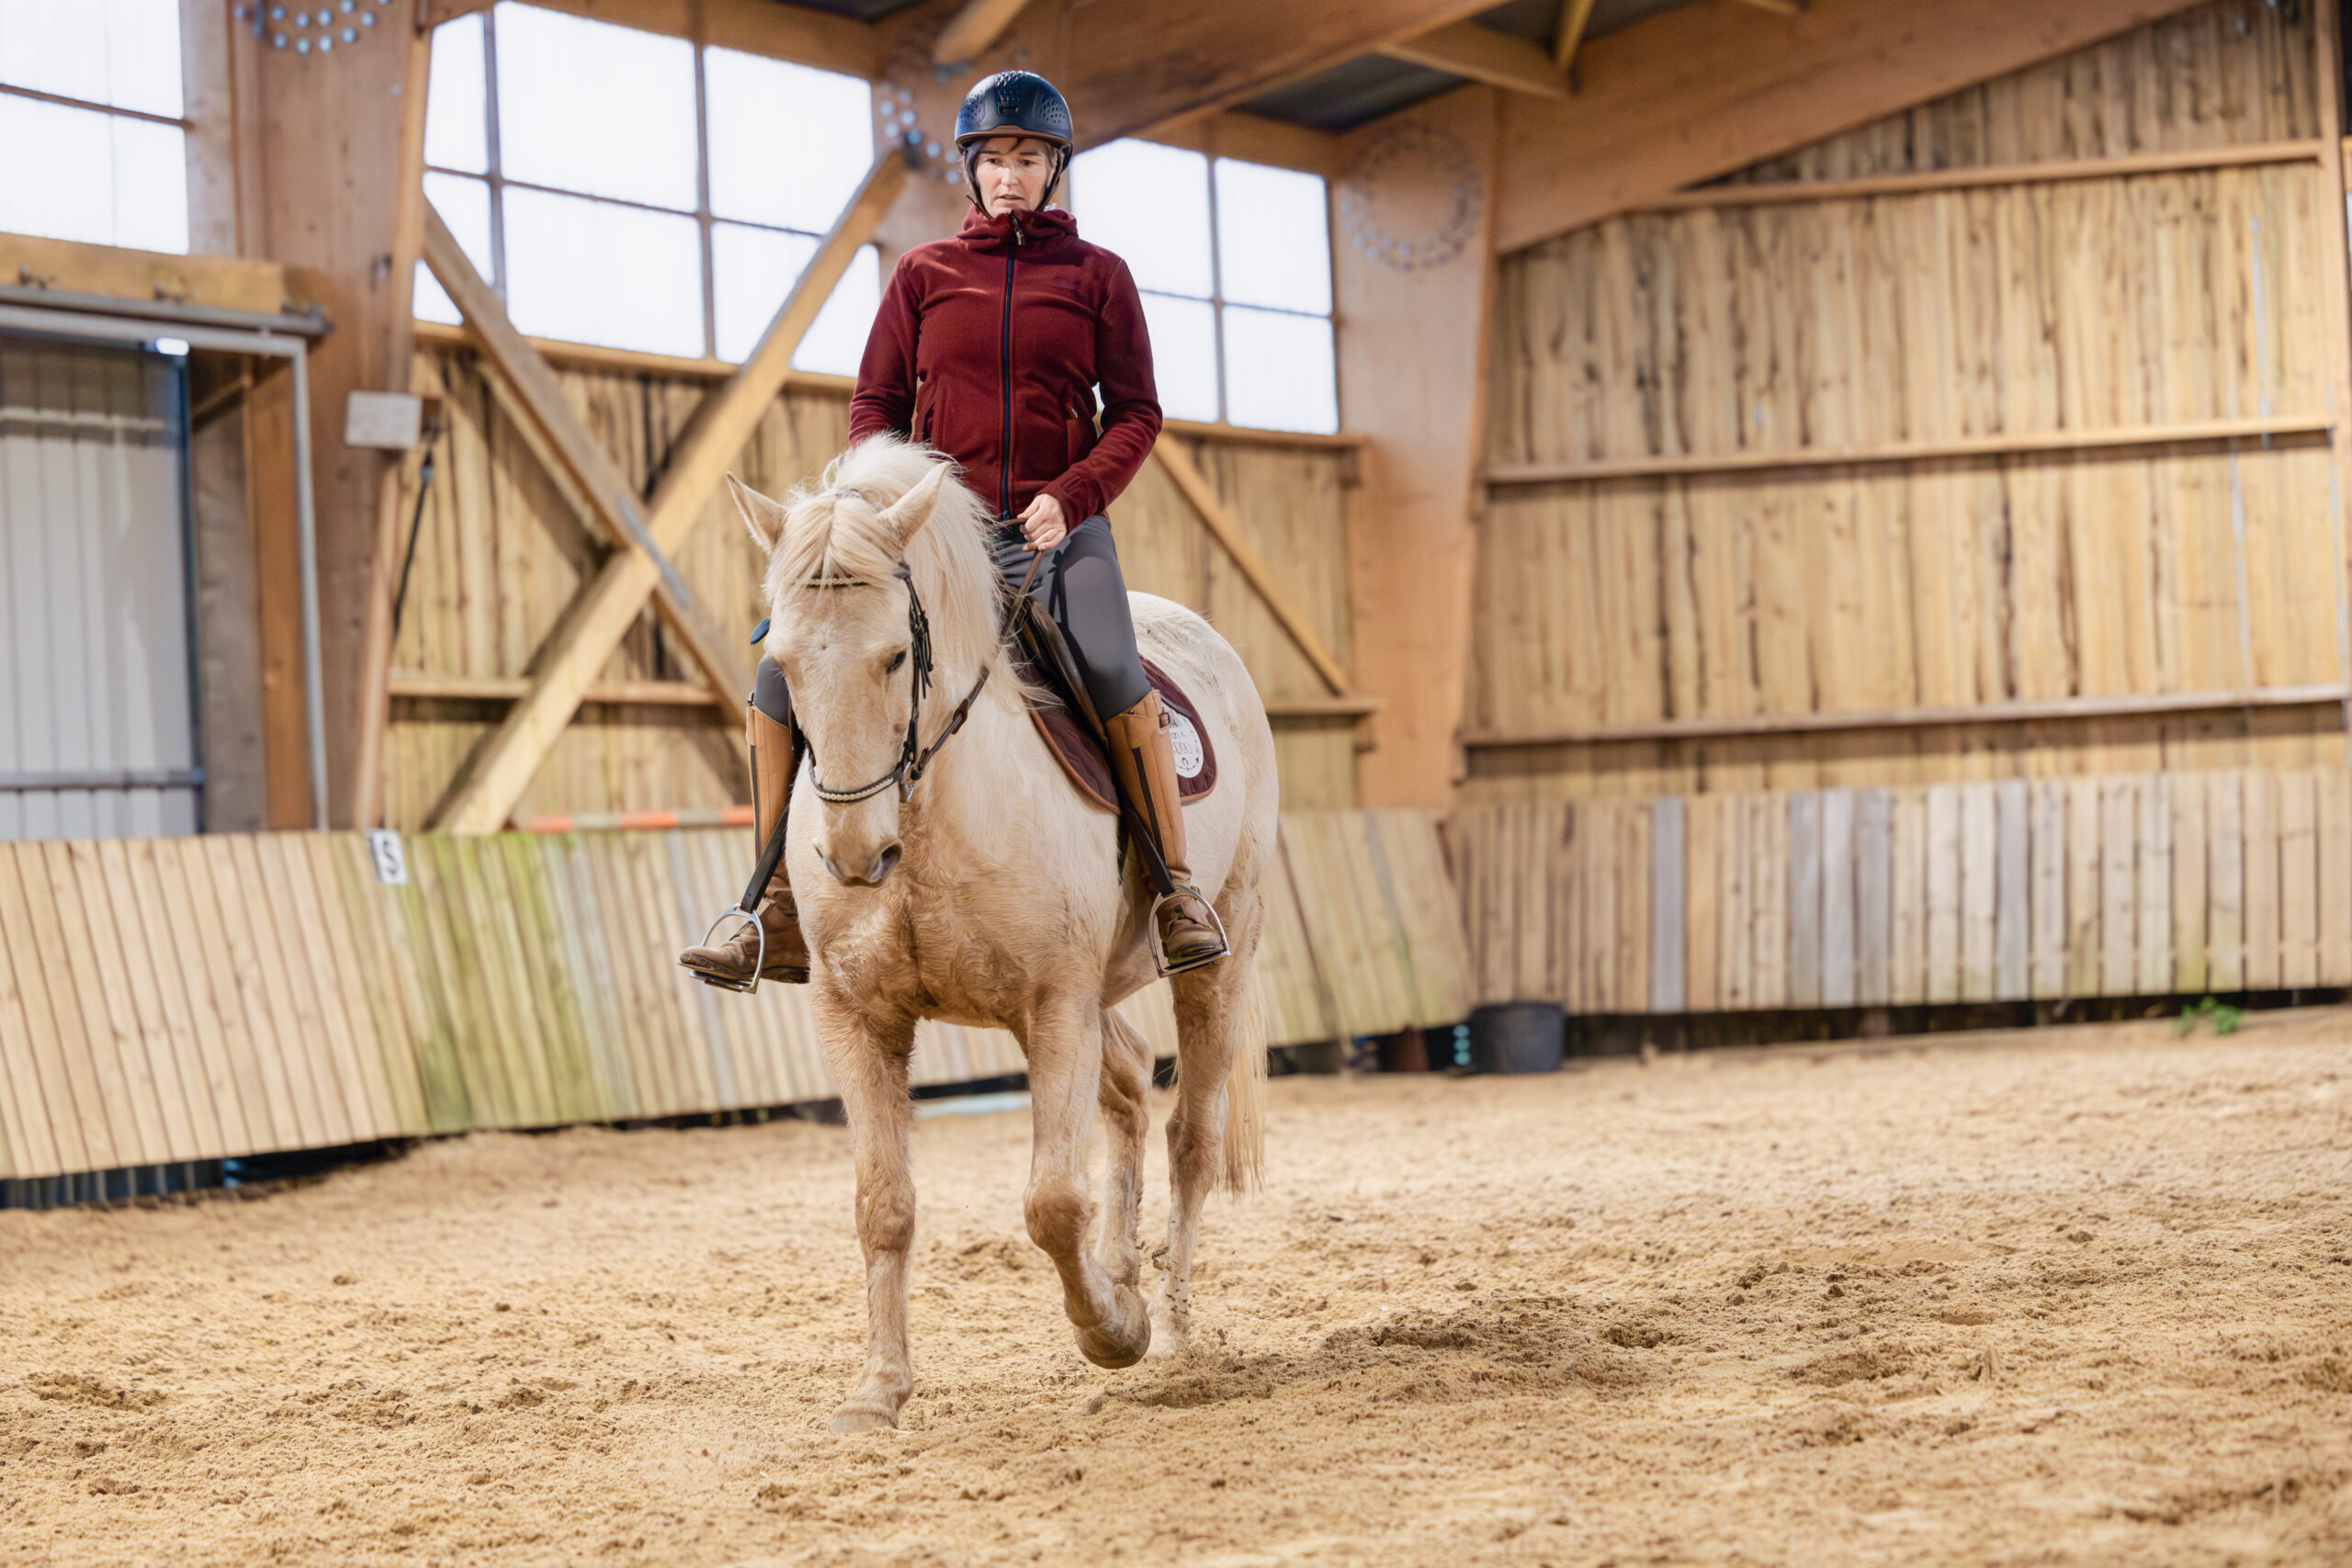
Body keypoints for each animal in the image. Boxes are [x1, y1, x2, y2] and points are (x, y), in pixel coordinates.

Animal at [724, 435, 1276, 1434]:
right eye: (780, 662)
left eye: (896, 656)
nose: (856, 855)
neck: (929, 815)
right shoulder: (855, 1015)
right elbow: (883, 1204)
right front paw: (878, 1392)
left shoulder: (1053, 1005)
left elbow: (1052, 1202)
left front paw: (1114, 1334)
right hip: (1100, 995)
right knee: (1130, 1083)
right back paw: (1125, 1274)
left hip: (1216, 962)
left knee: (1190, 1136)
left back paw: (1172, 1327)